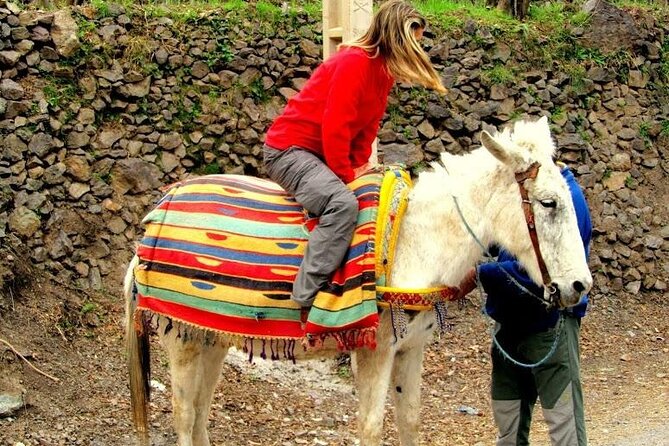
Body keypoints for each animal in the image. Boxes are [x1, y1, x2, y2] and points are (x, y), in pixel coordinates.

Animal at [124, 116, 588, 444]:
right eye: (548, 203)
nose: (579, 288)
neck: (412, 242)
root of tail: (153, 222)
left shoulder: (411, 350)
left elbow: (410, 422)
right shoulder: (375, 352)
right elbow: (370, 427)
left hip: (211, 338)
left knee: (201, 415)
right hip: (181, 341)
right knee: (185, 417)